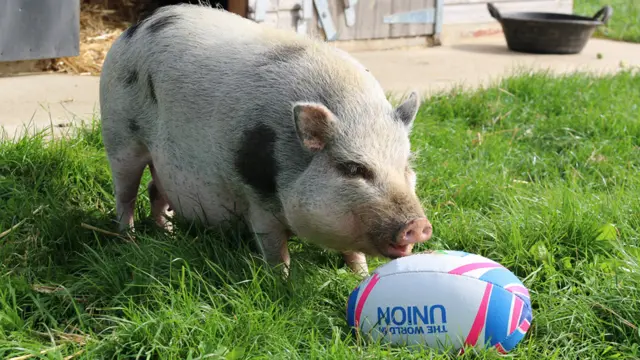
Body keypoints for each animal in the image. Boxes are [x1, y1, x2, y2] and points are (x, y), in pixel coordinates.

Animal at [99, 3, 430, 276]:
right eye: (353, 169)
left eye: (406, 167)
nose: (418, 226)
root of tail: (135, 27)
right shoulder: (255, 197)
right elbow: (276, 250)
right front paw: (281, 284)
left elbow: (352, 250)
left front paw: (359, 276)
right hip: (120, 138)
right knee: (125, 195)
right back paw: (129, 240)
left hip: (162, 161)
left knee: (155, 190)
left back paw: (166, 234)